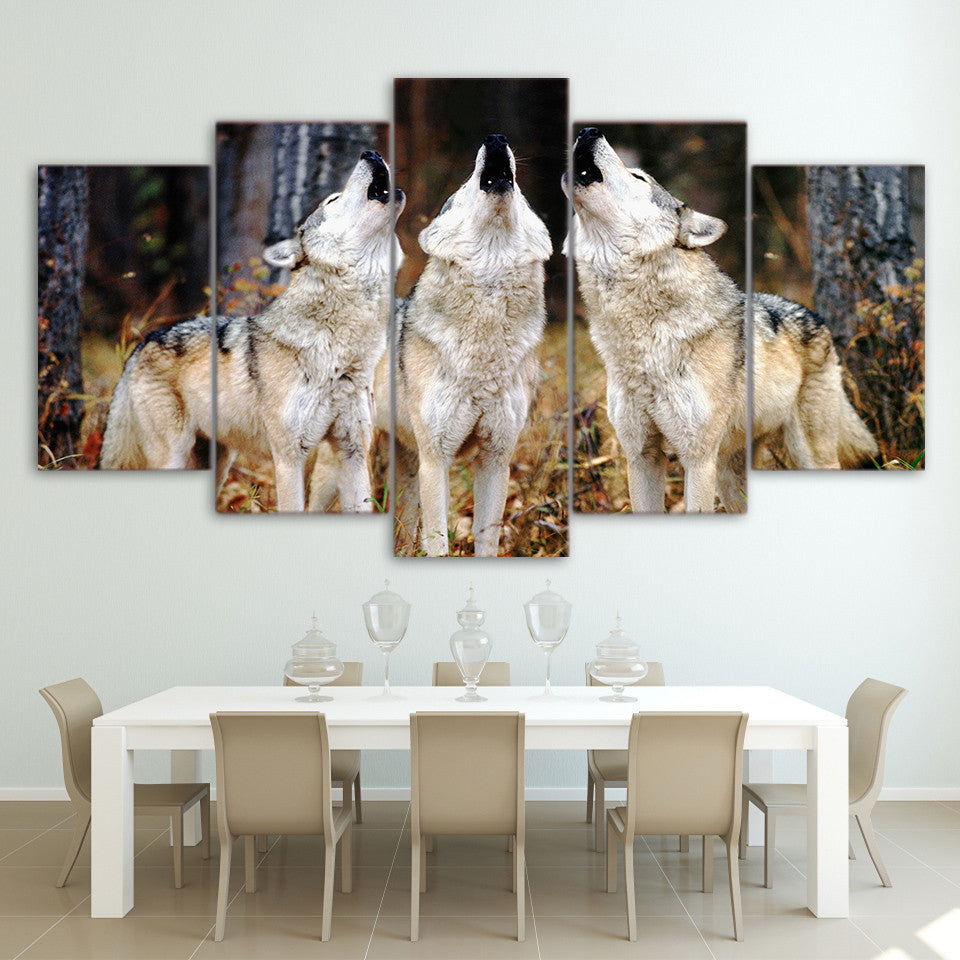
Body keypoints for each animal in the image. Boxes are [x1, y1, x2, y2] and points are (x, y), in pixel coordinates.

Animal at [100, 151, 404, 513]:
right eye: (333, 199)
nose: (371, 153)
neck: (339, 351)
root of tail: (141, 343)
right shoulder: (288, 458)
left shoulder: (353, 453)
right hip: (172, 456)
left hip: (217, 463)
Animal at [391, 134, 553, 556]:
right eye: (464, 185)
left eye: (522, 194)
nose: (496, 138)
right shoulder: (436, 461)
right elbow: (437, 542)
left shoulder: (496, 459)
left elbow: (488, 539)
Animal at [563, 127, 876, 513]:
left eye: (638, 177)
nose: (588, 131)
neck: (645, 339)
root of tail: (816, 316)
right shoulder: (640, 457)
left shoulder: (698, 460)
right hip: (730, 476)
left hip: (809, 457)